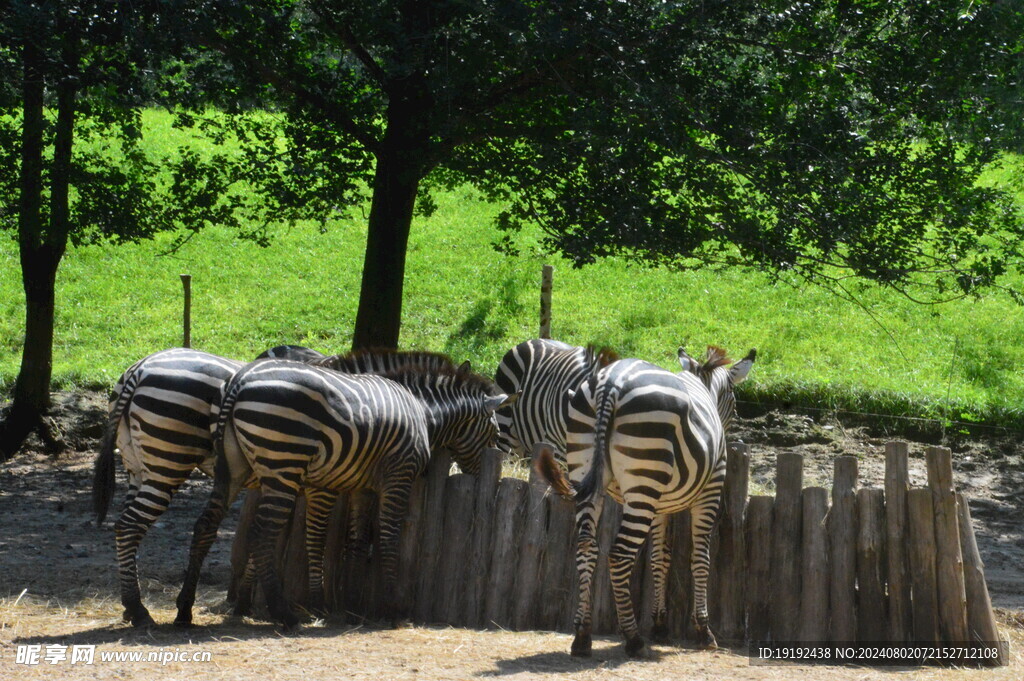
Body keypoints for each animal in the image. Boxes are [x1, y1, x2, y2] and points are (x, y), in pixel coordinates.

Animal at [171, 358, 516, 630]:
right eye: (495, 434)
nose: (485, 479)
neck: (423, 412)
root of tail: (240, 379)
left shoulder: (362, 486)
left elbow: (356, 541)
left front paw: (350, 605)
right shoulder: (398, 477)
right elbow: (387, 537)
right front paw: (391, 608)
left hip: (234, 469)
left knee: (205, 526)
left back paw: (185, 609)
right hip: (283, 462)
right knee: (262, 535)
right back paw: (284, 615)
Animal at [536, 348, 753, 655]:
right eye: (733, 403)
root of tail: (610, 383)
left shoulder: (661, 505)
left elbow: (659, 558)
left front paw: (660, 625)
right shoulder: (711, 490)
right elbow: (700, 559)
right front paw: (703, 631)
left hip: (588, 473)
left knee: (587, 547)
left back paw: (582, 635)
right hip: (643, 482)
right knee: (618, 555)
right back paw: (633, 638)